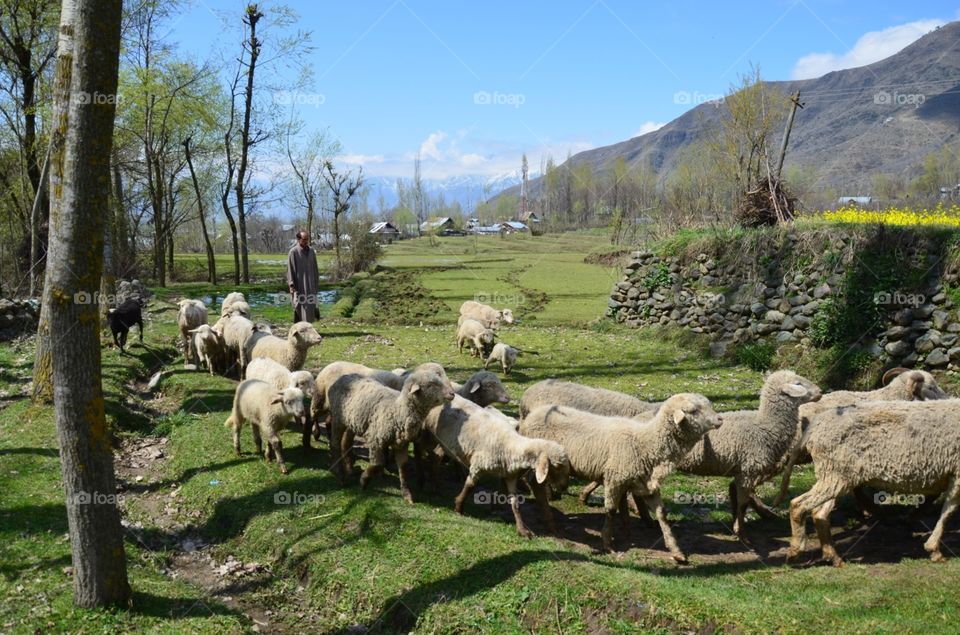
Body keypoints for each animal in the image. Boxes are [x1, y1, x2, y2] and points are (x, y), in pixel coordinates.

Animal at [327, 369, 456, 503]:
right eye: (431, 384)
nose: (452, 394)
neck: (397, 410)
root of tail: (344, 377)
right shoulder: (375, 440)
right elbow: (377, 464)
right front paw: (364, 481)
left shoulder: (401, 445)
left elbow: (403, 468)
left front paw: (407, 494)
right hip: (338, 418)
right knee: (334, 443)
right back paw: (339, 474)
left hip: (352, 422)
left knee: (345, 442)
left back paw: (349, 469)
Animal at [423, 396, 570, 537]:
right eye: (557, 466)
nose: (564, 487)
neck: (511, 446)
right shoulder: (478, 466)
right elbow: (470, 486)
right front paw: (458, 507)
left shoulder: (510, 477)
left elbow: (515, 504)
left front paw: (522, 530)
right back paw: (435, 487)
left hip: (445, 444)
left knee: (436, 455)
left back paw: (435, 484)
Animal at [520, 394, 722, 561]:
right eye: (693, 410)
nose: (720, 419)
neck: (645, 443)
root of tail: (529, 418)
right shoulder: (615, 479)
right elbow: (611, 510)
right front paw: (607, 543)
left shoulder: (644, 483)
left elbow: (661, 514)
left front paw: (676, 550)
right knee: (535, 485)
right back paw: (549, 521)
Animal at [675, 371, 821, 536]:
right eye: (798, 383)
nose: (820, 392)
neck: (765, 424)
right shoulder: (749, 470)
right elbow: (742, 503)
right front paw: (740, 530)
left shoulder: (742, 471)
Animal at [786, 398, 960, 565]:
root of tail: (815, 425)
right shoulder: (957, 474)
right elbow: (948, 513)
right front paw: (934, 549)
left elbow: (936, 504)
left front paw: (911, 520)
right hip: (835, 475)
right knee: (798, 505)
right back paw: (795, 552)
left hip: (834, 474)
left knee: (819, 514)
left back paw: (834, 557)